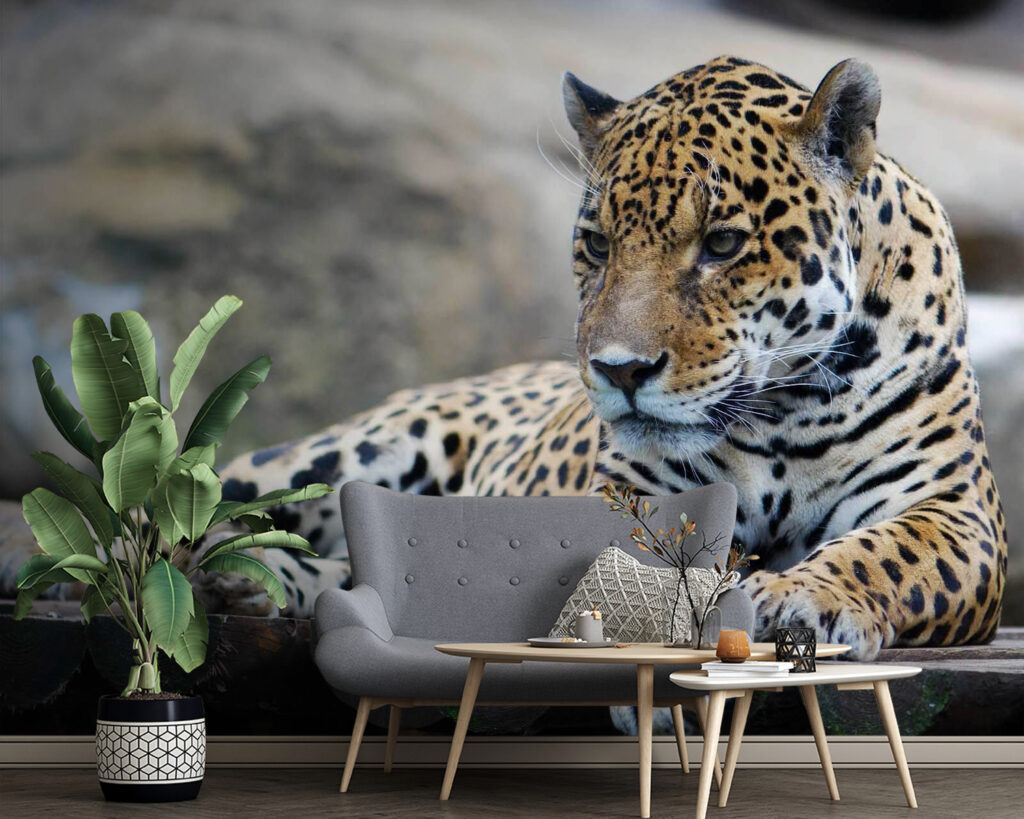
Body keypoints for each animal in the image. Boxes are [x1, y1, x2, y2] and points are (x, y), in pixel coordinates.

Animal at [195, 56, 1006, 661]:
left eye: (722, 244)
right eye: (597, 244)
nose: (619, 371)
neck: (781, 410)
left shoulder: (957, 511)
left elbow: (888, 551)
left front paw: (797, 598)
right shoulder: (627, 498)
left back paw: (257, 580)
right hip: (349, 450)